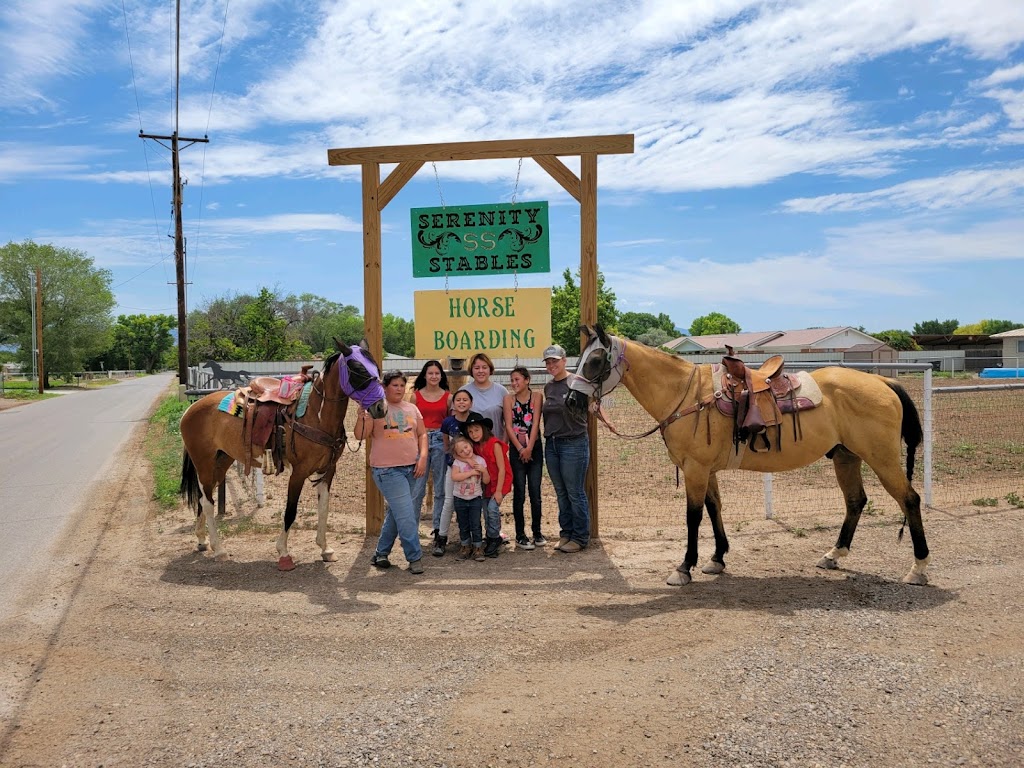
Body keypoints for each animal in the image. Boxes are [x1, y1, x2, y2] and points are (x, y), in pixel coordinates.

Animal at [178, 339, 385, 569]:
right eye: (357, 369)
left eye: (375, 367)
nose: (380, 407)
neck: (315, 415)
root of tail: (190, 409)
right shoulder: (299, 473)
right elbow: (290, 511)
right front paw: (284, 553)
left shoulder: (328, 470)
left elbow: (323, 508)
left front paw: (325, 549)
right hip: (204, 463)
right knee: (207, 502)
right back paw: (219, 549)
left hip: (221, 461)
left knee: (203, 498)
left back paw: (202, 540)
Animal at [573, 325, 933, 589]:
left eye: (595, 361)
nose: (572, 400)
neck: (688, 396)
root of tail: (883, 381)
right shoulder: (706, 470)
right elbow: (714, 508)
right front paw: (717, 559)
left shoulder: (695, 469)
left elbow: (693, 516)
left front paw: (684, 567)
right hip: (847, 457)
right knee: (856, 501)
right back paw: (834, 554)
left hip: (881, 459)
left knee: (910, 499)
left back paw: (919, 568)